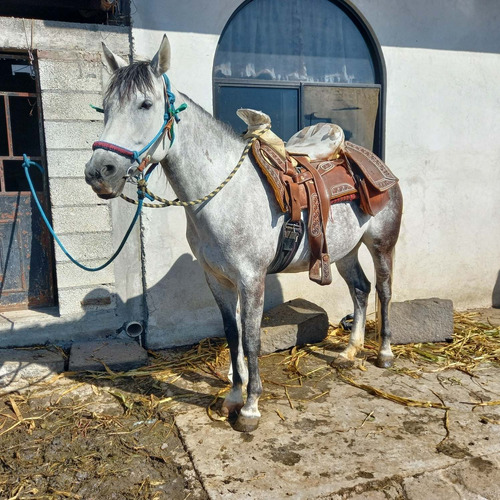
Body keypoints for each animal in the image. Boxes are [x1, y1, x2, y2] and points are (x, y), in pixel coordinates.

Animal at [85, 36, 402, 434]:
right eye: (105, 106)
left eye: (146, 104)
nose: (99, 172)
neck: (223, 196)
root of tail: (375, 162)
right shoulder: (217, 279)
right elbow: (232, 334)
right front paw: (233, 396)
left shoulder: (251, 279)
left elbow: (251, 340)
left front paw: (251, 408)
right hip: (344, 251)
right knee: (360, 289)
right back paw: (349, 351)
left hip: (381, 245)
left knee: (385, 291)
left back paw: (384, 353)